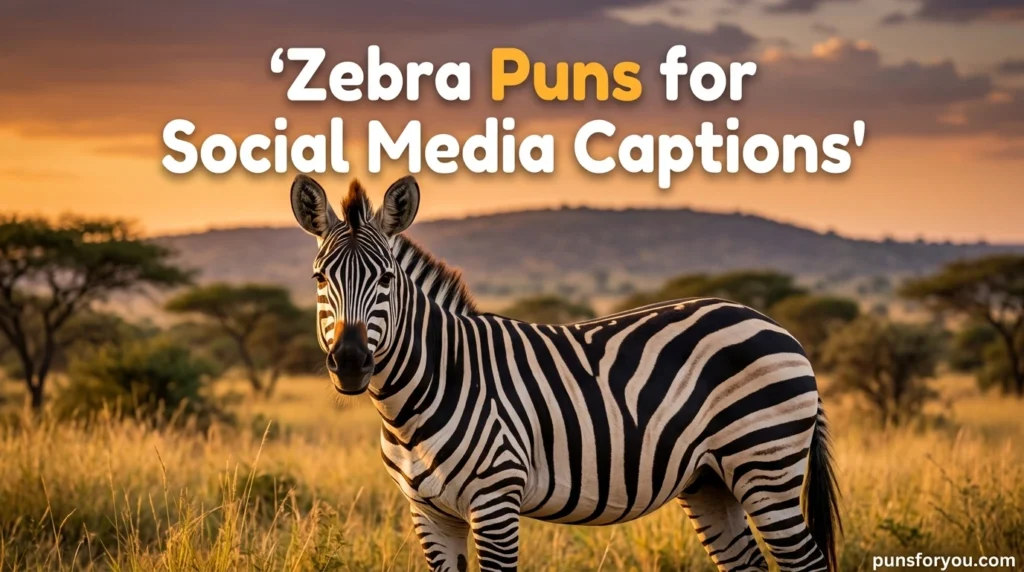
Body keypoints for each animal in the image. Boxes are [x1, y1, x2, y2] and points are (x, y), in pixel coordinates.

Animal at [289, 174, 842, 572]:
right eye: (319, 278)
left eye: (385, 278)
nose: (351, 363)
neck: (420, 397)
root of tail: (775, 325)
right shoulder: (429, 513)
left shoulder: (496, 501)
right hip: (711, 481)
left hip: (765, 464)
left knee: (806, 564)